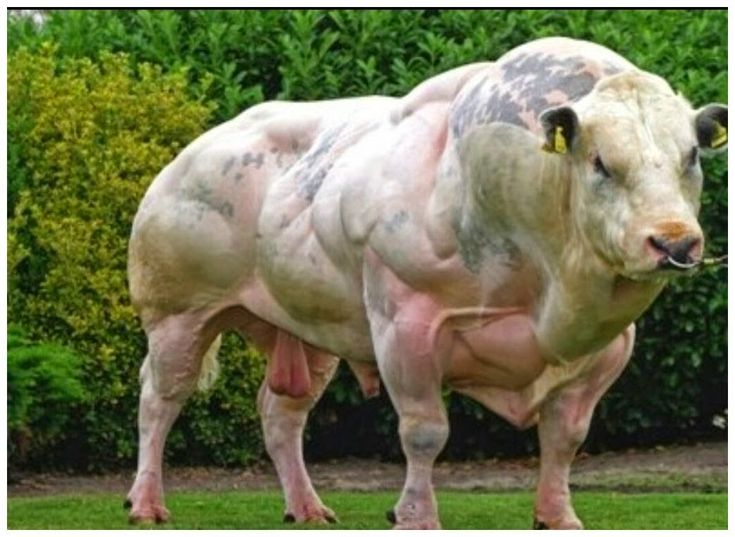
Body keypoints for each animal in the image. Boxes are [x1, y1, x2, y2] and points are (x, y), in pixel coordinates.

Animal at [123, 37, 728, 528]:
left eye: (691, 157)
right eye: (601, 162)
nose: (674, 243)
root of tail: (194, 150)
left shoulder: (608, 348)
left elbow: (565, 437)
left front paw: (558, 516)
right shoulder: (405, 324)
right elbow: (424, 431)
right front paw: (414, 514)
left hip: (311, 330)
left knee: (281, 414)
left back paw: (307, 507)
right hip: (177, 313)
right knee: (159, 399)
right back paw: (146, 503)